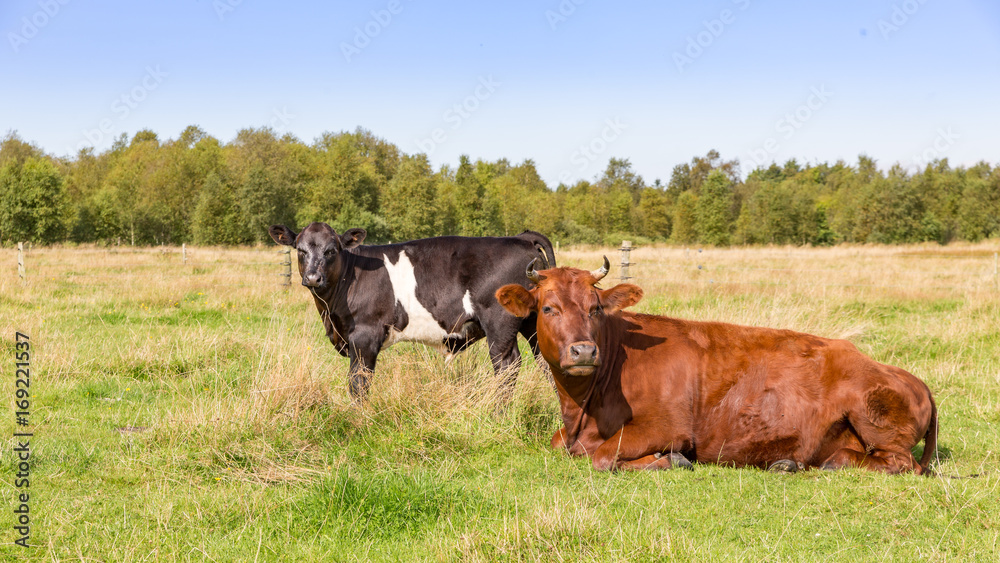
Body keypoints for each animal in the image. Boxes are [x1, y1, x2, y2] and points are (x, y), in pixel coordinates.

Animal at [270, 221, 560, 400]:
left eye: (331, 250)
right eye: (300, 250)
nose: (313, 278)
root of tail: (520, 238)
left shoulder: (364, 335)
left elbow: (359, 382)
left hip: (499, 322)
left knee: (507, 366)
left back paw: (497, 415)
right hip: (533, 322)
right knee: (548, 362)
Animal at [496, 260, 940, 476]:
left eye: (595, 308)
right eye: (548, 308)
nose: (585, 351)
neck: (582, 411)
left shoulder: (668, 426)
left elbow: (604, 456)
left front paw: (670, 461)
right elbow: (562, 445)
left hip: (872, 414)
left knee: (903, 464)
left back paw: (831, 463)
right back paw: (788, 463)